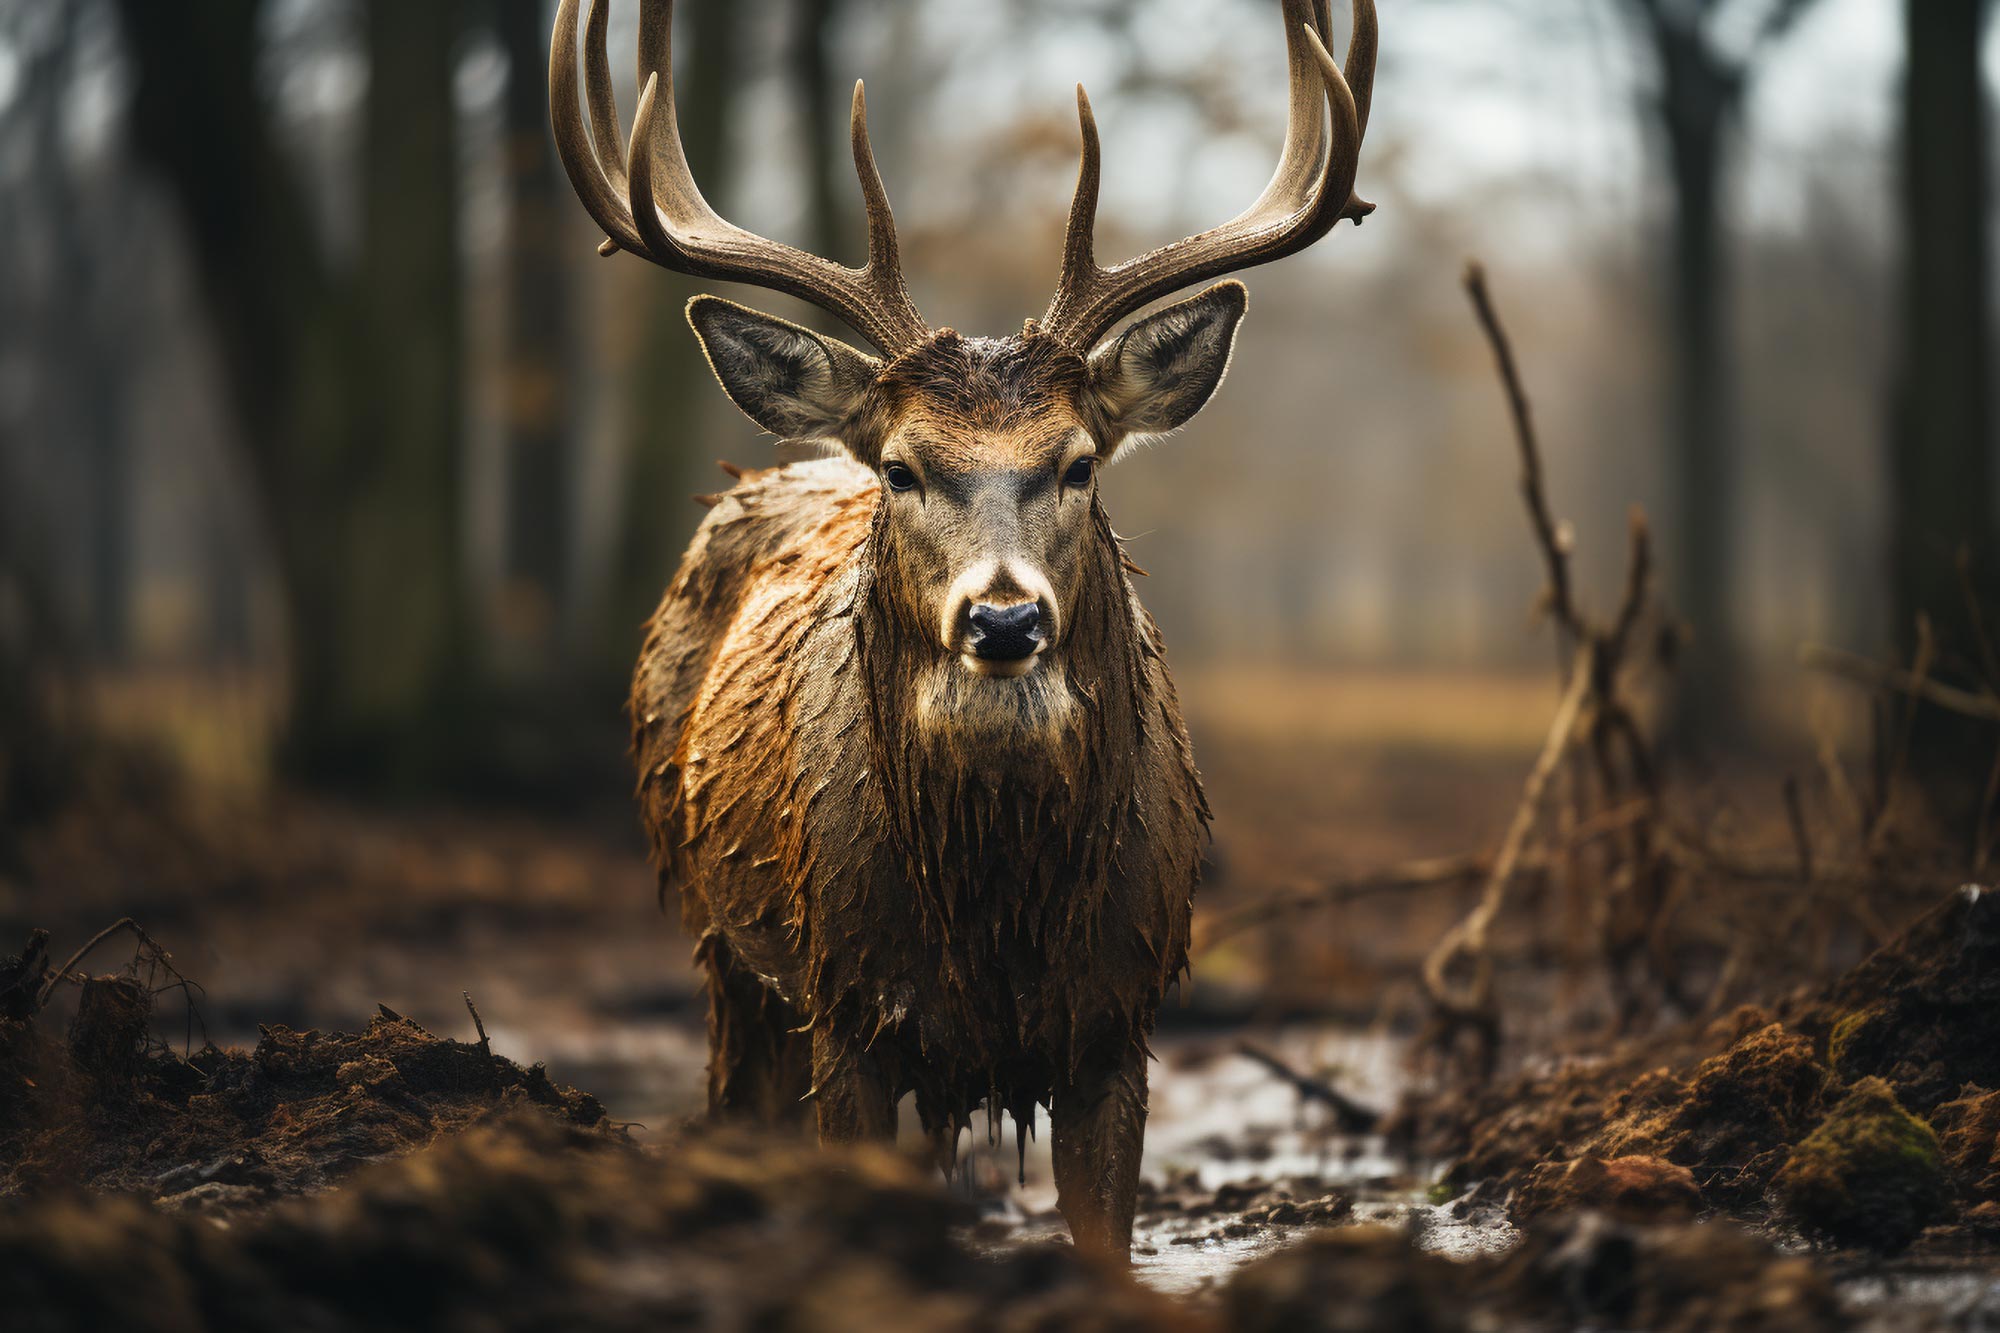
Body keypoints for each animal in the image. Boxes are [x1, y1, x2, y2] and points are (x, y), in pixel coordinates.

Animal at [550, 0, 1375, 1260]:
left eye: (1077, 463)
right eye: (901, 467)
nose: (1002, 616)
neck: (999, 925)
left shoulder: (1119, 1021)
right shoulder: (847, 1004)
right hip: (717, 942)